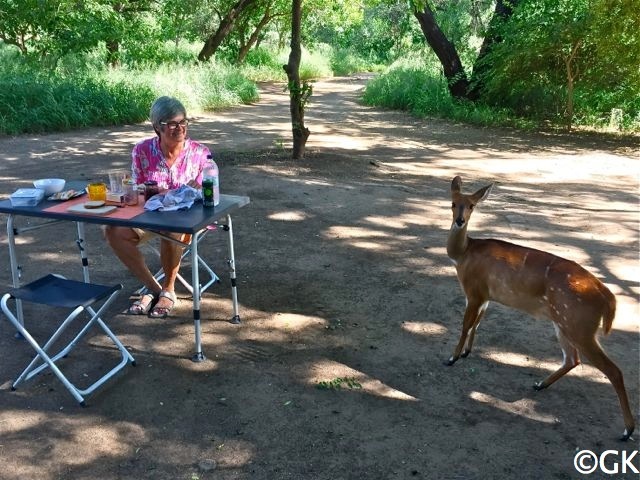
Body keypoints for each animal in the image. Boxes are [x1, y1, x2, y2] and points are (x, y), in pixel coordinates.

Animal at [444, 174, 636, 440]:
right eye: (453, 203)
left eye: (471, 205)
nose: (460, 221)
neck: (463, 254)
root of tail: (608, 297)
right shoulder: (485, 296)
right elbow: (477, 323)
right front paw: (466, 353)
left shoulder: (473, 291)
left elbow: (465, 325)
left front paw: (452, 358)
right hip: (564, 324)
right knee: (572, 359)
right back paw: (539, 384)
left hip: (579, 326)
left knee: (612, 370)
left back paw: (627, 431)